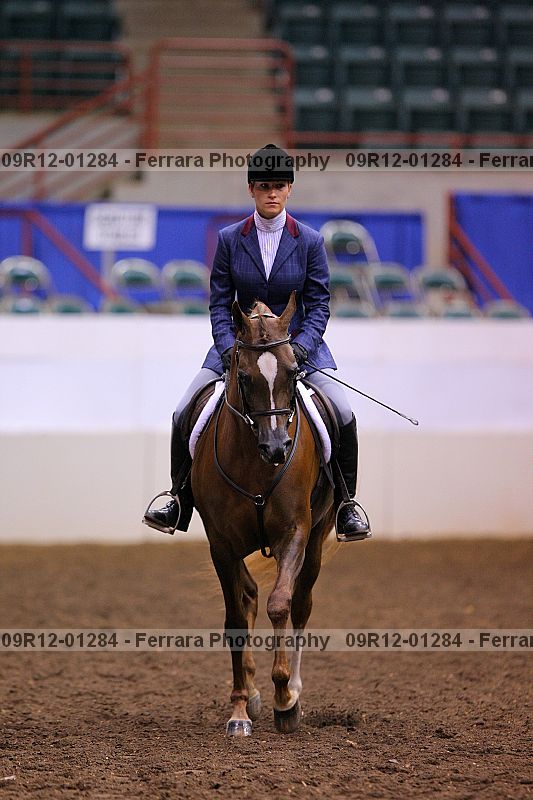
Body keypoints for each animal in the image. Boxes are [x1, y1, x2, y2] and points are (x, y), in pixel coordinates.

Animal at [191, 290, 335, 736]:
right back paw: (253, 694)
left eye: (292, 372)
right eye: (244, 376)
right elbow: (236, 619)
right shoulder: (220, 543)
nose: (277, 448)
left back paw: (295, 689)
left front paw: (285, 698)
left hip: (319, 534)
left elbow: (280, 605)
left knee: (302, 602)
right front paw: (241, 708)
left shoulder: (295, 532)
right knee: (249, 594)